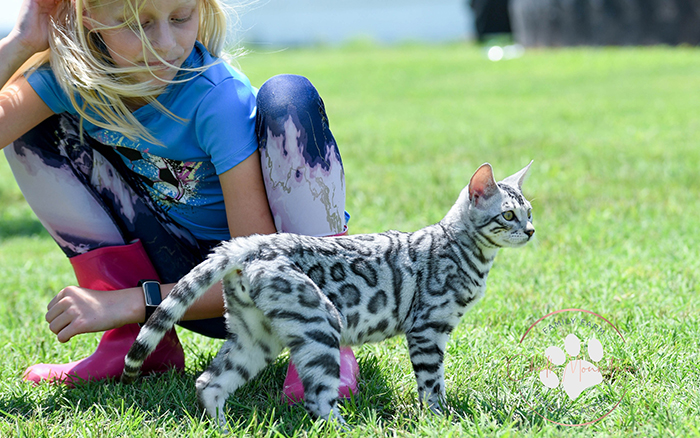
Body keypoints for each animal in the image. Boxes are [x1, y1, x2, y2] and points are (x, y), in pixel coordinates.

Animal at [120, 163, 536, 426]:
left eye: (530, 212)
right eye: (509, 215)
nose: (532, 231)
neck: (462, 248)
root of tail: (250, 244)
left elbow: (437, 384)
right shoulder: (427, 330)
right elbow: (432, 385)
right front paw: (439, 420)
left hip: (255, 339)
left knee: (209, 384)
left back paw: (222, 429)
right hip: (320, 326)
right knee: (318, 400)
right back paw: (352, 429)